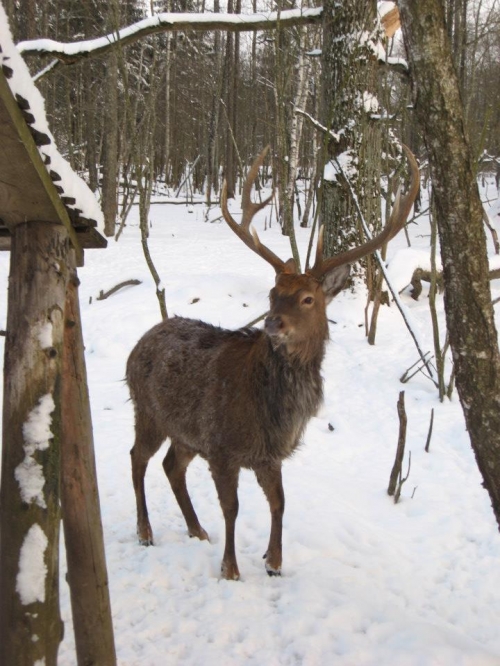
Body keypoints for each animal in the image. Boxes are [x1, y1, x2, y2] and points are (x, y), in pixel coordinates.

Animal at [126, 144, 418, 576]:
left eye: (308, 298)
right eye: (272, 293)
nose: (271, 321)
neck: (269, 409)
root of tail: (137, 345)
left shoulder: (269, 455)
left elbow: (279, 503)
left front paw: (274, 560)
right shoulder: (222, 445)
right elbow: (232, 509)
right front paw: (230, 568)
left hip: (184, 430)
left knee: (171, 465)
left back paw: (197, 530)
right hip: (148, 411)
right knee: (138, 458)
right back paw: (145, 531)